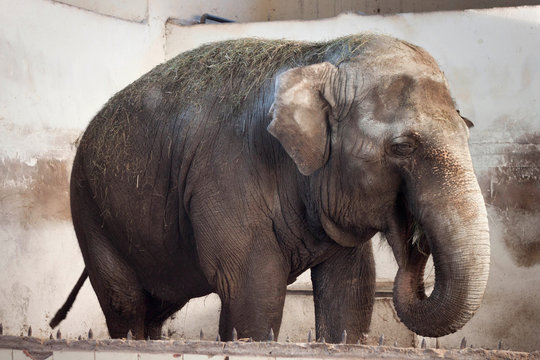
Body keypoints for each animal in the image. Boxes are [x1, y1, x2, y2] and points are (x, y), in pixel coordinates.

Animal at [49, 34, 490, 344]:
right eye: (402, 148)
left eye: (466, 129)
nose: (416, 243)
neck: (318, 61)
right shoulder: (226, 174)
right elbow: (250, 284)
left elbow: (350, 288)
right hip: (88, 207)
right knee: (125, 302)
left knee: (159, 304)